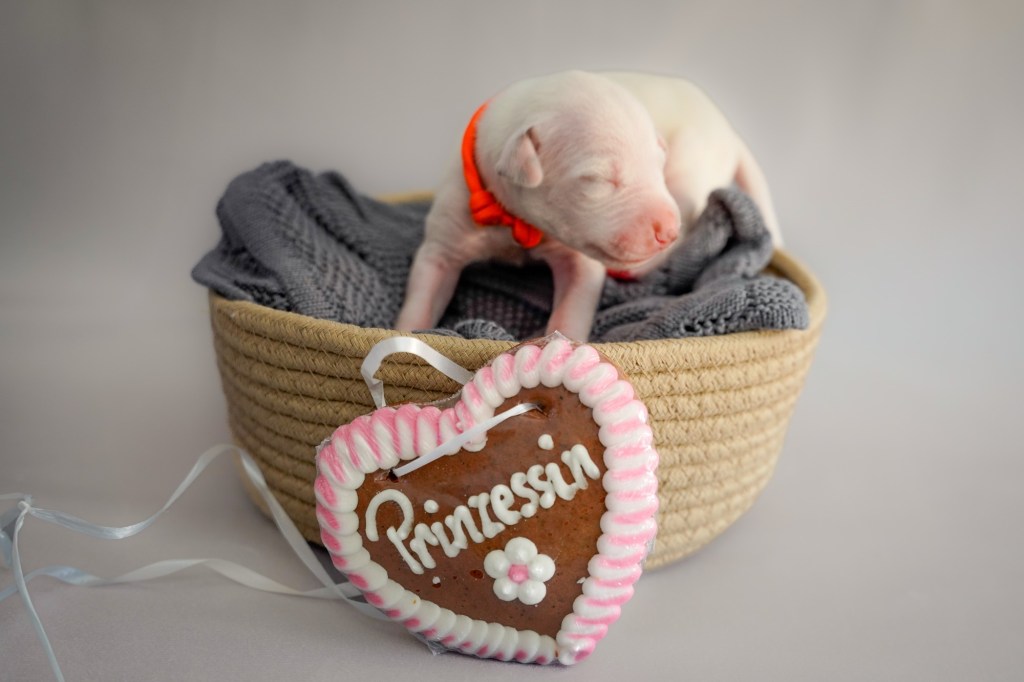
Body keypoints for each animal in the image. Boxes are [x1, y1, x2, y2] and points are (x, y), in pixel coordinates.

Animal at [395, 70, 780, 341]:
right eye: (598, 180)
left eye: (657, 163)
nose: (666, 231)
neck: (516, 221)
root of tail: (729, 131)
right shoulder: (450, 229)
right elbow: (425, 288)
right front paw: (407, 333)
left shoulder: (580, 258)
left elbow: (574, 303)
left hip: (690, 174)